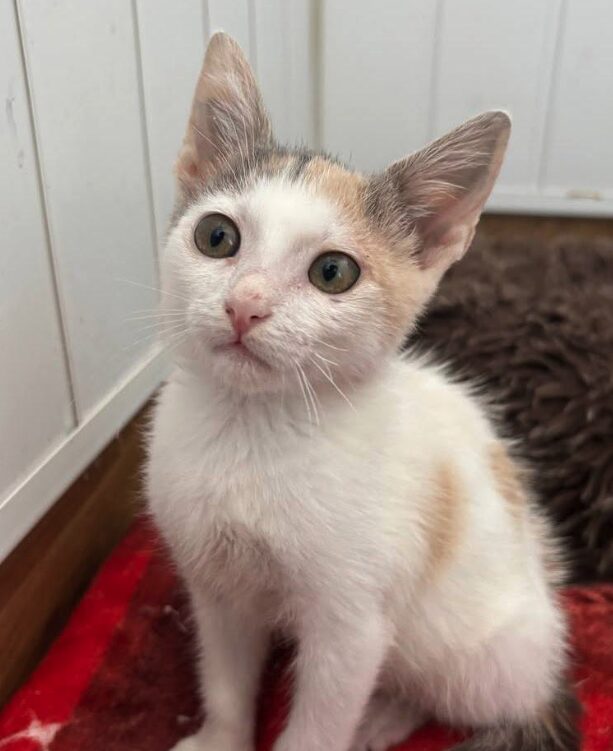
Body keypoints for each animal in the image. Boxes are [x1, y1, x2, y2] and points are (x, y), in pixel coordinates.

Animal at [147, 32, 580, 751]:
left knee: (450, 696)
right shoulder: (217, 586)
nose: (244, 304)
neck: (251, 429)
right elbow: (227, 676)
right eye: (216, 236)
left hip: (471, 652)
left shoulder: (351, 624)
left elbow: (318, 723)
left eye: (332, 272)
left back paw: (385, 714)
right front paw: (221, 735)